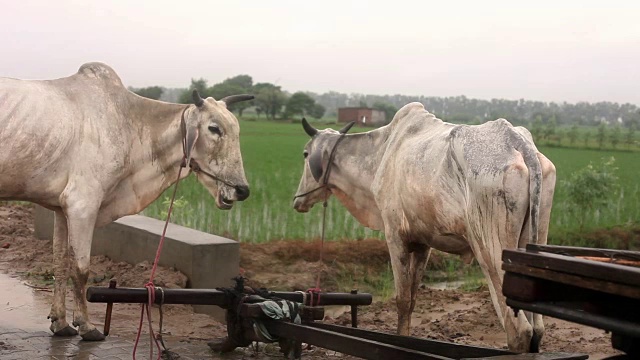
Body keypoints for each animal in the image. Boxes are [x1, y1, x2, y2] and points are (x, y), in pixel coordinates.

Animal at [0, 62, 255, 340]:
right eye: (214, 128)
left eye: (237, 130)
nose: (242, 190)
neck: (128, 123)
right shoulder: (82, 204)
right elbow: (81, 268)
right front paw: (86, 325)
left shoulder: (60, 208)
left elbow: (60, 262)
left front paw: (60, 322)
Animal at [294, 102, 556, 352]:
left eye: (305, 153)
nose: (297, 200)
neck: (382, 151)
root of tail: (518, 142)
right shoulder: (423, 243)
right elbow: (412, 300)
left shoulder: (395, 236)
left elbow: (401, 300)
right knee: (538, 328)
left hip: (490, 250)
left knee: (520, 330)